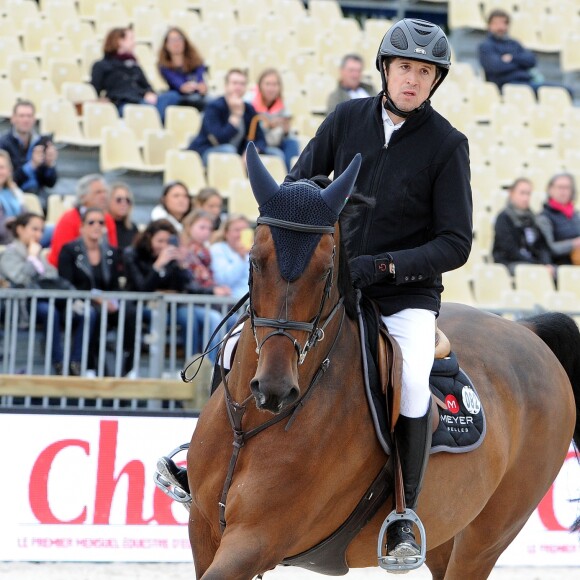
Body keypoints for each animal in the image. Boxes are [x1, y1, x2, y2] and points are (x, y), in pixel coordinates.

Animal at [187, 142, 580, 580]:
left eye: (326, 271)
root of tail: (528, 330)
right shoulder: (203, 528)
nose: (274, 389)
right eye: (255, 260)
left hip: (486, 538)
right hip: (445, 530)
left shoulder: (258, 539)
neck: (251, 425)